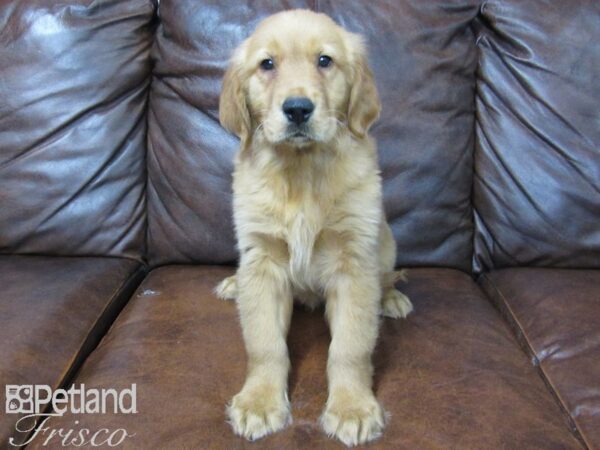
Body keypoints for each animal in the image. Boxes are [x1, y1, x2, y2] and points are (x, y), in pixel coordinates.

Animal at [214, 8, 412, 444]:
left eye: (325, 61)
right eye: (267, 64)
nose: (298, 109)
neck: (301, 171)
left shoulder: (353, 263)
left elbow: (350, 347)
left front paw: (352, 407)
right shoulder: (263, 260)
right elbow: (264, 343)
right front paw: (259, 402)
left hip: (384, 241)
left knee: (385, 276)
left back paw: (390, 298)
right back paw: (234, 283)